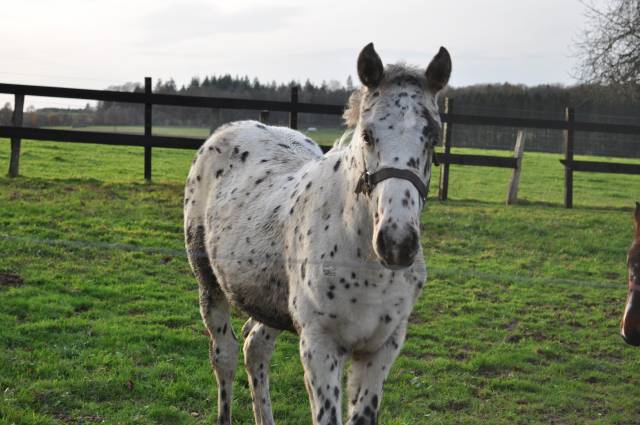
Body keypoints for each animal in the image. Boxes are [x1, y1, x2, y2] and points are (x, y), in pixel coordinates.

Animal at [185, 44, 452, 424]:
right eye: (367, 134)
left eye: (433, 136)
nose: (397, 242)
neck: (364, 263)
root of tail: (232, 128)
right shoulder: (319, 346)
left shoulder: (381, 349)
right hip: (209, 285)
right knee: (225, 355)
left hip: (272, 300)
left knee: (255, 347)